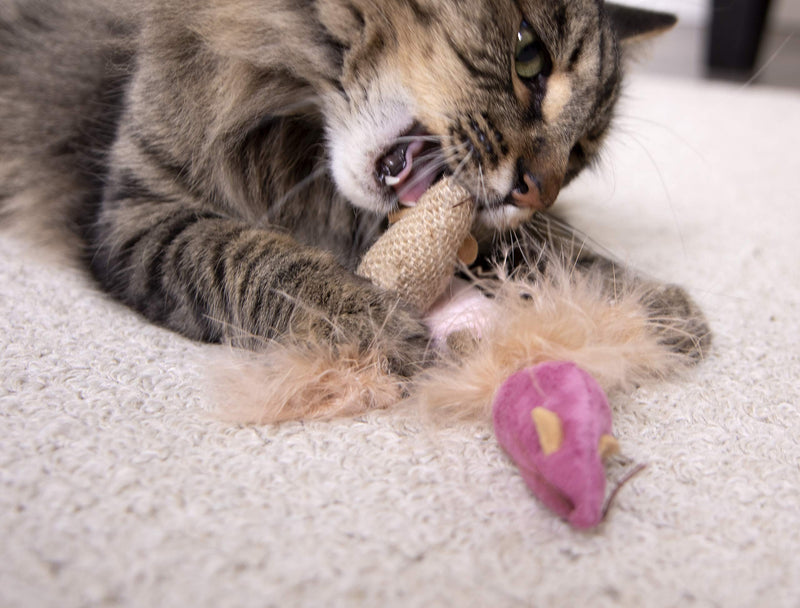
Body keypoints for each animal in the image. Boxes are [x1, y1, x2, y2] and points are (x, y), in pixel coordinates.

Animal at [0, 1, 712, 376]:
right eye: (527, 56)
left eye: (581, 150)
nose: (537, 192)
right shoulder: (137, 215)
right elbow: (254, 261)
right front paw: (364, 319)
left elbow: (553, 247)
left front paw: (647, 306)